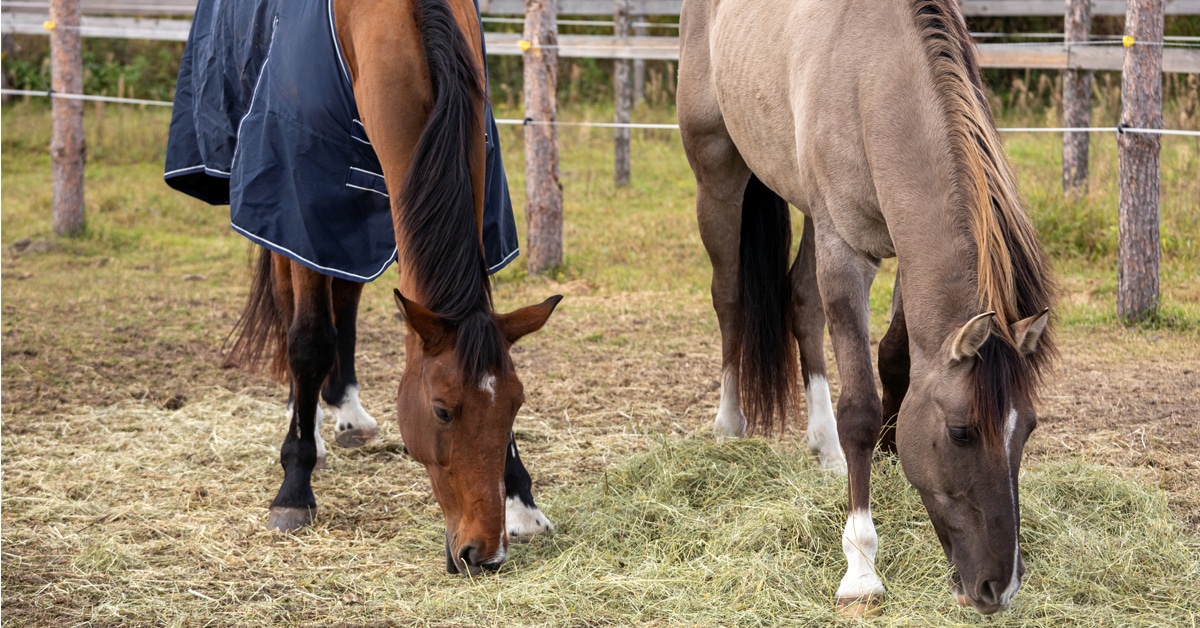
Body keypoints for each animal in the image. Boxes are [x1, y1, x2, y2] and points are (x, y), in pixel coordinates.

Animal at [166, 0, 560, 576]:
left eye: (515, 406)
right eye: (442, 410)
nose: (484, 554)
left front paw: (521, 502)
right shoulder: (303, 200)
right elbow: (309, 341)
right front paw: (294, 488)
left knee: (346, 293)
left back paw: (345, 411)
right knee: (296, 312)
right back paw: (306, 428)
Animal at [678, 0, 1054, 615]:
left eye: (1028, 430)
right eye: (960, 432)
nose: (1000, 588)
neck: (876, 75)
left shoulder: (900, 248)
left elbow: (897, 358)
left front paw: (889, 456)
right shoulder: (847, 254)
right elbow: (859, 407)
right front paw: (860, 567)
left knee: (801, 302)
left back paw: (824, 447)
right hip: (718, 175)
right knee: (729, 296)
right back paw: (730, 425)